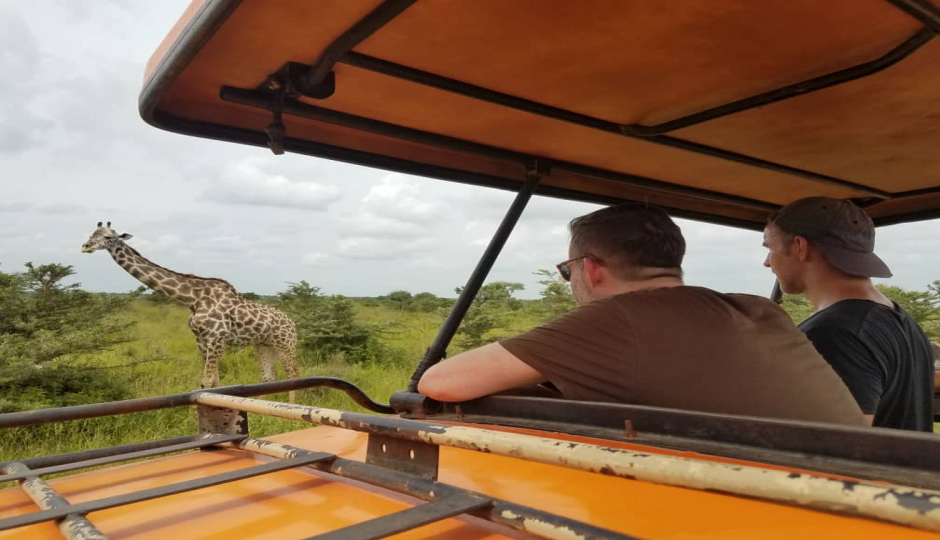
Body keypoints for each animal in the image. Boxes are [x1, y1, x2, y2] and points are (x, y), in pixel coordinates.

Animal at [82, 219, 302, 400]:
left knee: (293, 373)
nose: (85, 246)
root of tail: (291, 322)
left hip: (285, 343)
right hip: (263, 344)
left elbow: (206, 382)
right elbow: (214, 383)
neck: (192, 299)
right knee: (269, 377)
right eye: (92, 233)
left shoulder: (217, 339)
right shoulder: (201, 340)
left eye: (108, 237)